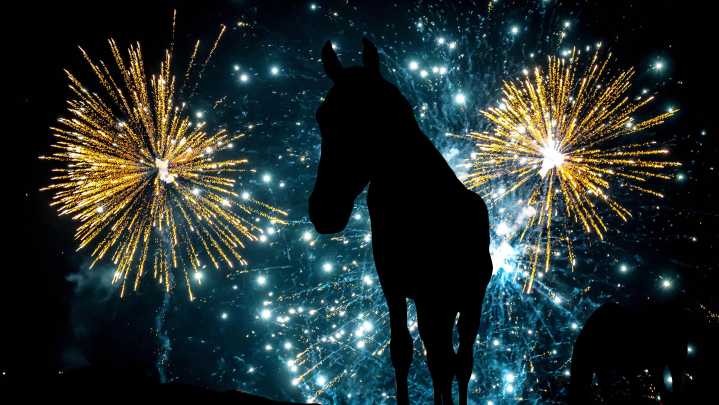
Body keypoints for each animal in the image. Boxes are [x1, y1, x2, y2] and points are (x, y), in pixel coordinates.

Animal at [308, 38, 493, 405]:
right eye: (322, 117)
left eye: (371, 114)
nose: (324, 211)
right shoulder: (395, 286)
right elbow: (402, 351)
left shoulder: (433, 294)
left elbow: (442, 363)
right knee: (442, 357)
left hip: (467, 301)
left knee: (460, 361)